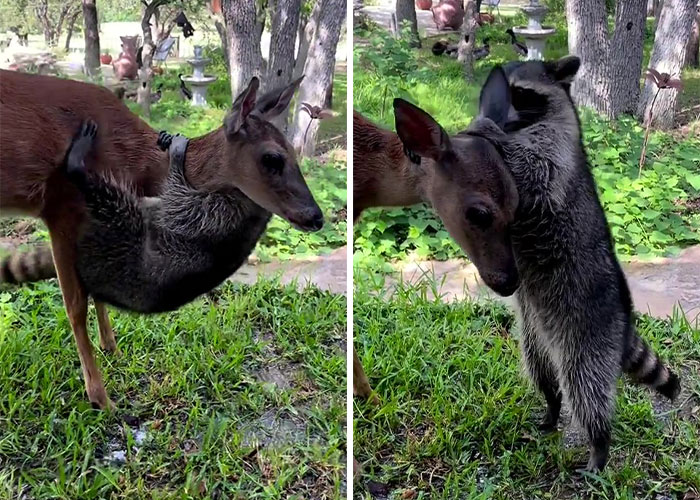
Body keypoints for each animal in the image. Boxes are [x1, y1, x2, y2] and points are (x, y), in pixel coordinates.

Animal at [61, 120, 270, 314]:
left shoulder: (220, 214)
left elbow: (176, 201)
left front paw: (176, 158)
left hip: (122, 250)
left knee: (118, 205)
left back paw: (79, 170)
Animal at [467, 57, 680, 472]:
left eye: (520, 93)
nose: (499, 118)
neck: (527, 124)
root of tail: (624, 323)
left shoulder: (557, 152)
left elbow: (535, 171)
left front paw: (490, 132)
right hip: (534, 333)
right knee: (543, 374)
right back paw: (551, 408)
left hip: (587, 333)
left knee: (586, 388)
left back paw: (599, 444)